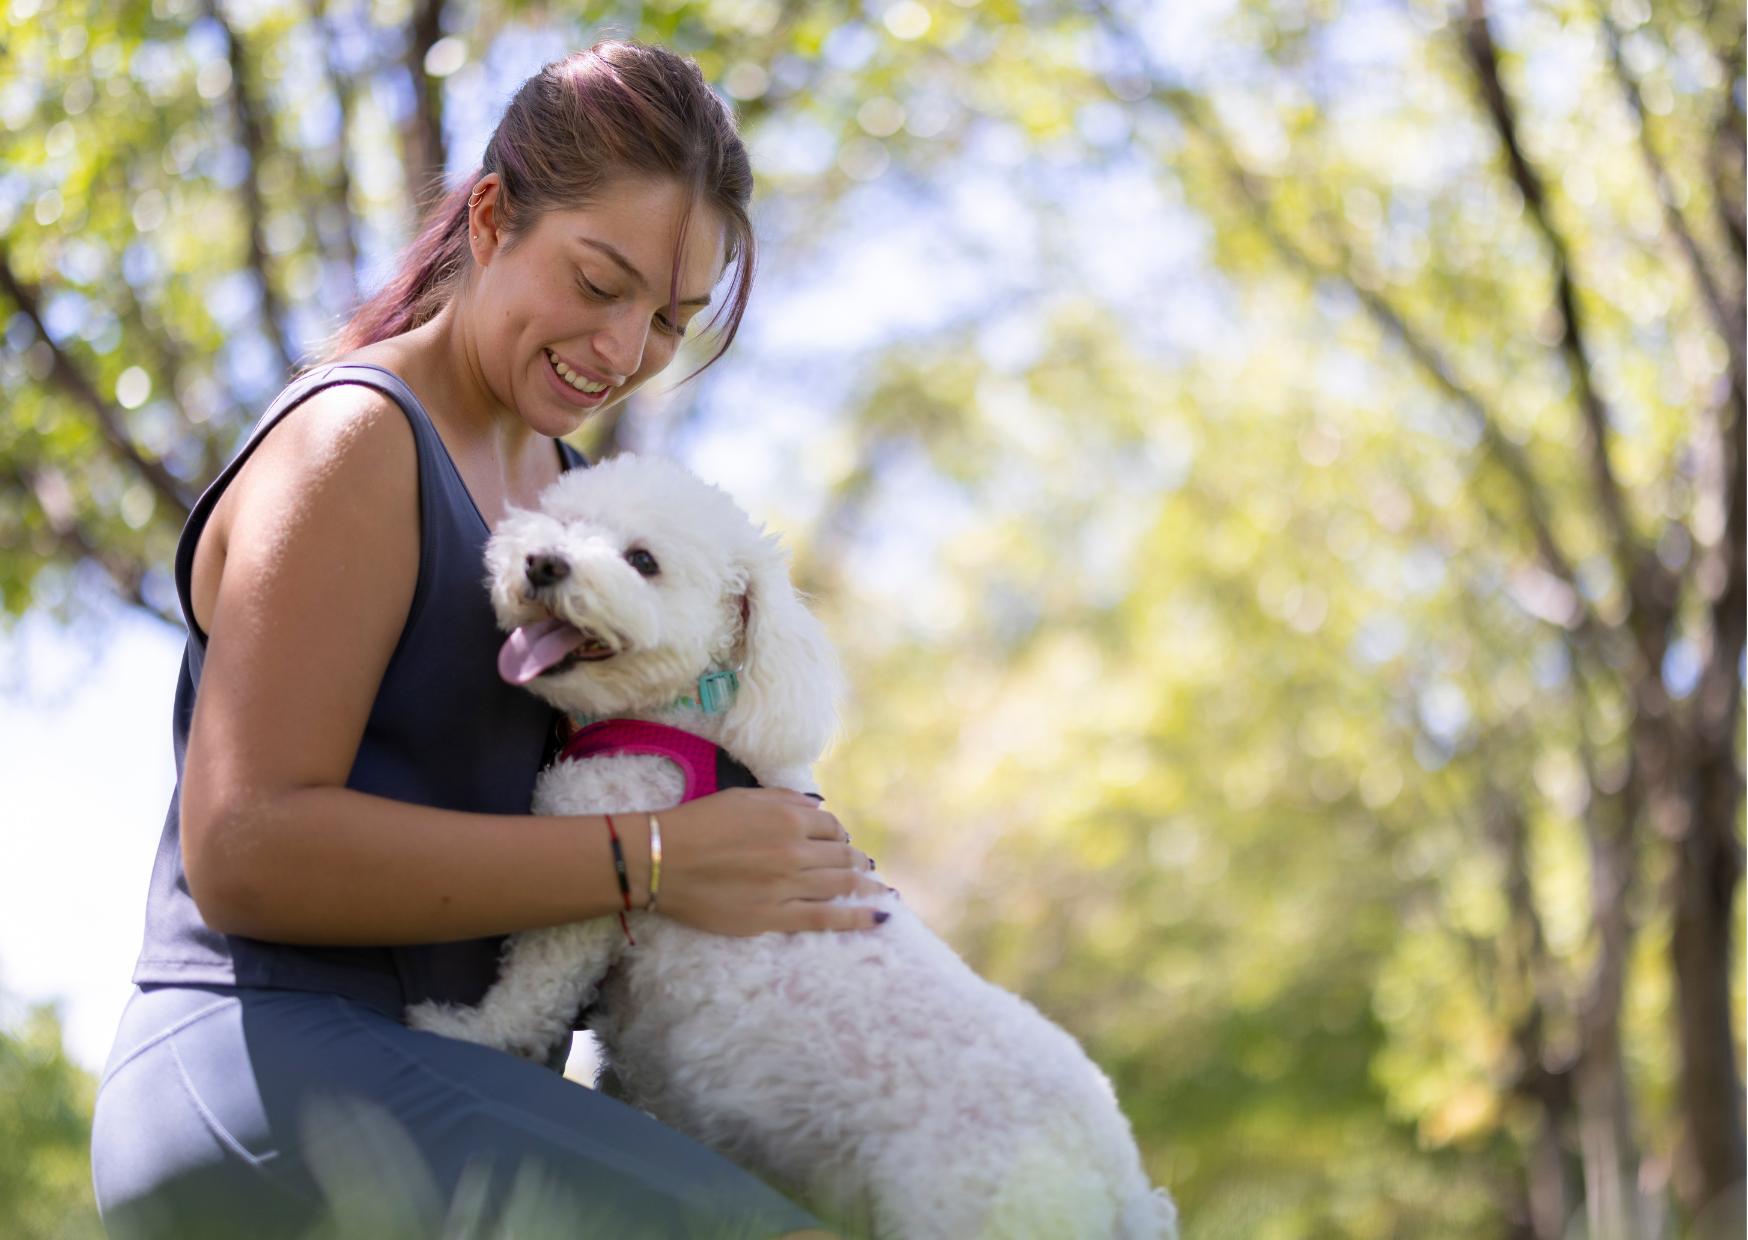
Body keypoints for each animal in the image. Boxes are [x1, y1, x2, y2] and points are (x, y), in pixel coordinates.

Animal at [405, 454, 1174, 1238]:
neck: (688, 719)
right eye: (566, 521)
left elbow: (532, 989)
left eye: (643, 561)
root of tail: (1121, 1186)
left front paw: (465, 1031)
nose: (543, 562)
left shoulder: (588, 882)